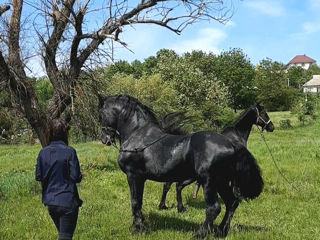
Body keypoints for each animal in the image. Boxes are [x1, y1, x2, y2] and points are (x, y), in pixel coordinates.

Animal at [100, 95, 276, 238]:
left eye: (101, 114)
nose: (105, 139)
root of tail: (232, 144)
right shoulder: (139, 178)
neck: (139, 136)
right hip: (220, 182)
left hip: (209, 182)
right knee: (231, 202)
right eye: (264, 114)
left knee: (214, 208)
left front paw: (137, 229)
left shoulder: (134, 176)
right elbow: (138, 202)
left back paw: (200, 234)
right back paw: (220, 231)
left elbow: (135, 202)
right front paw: (139, 226)